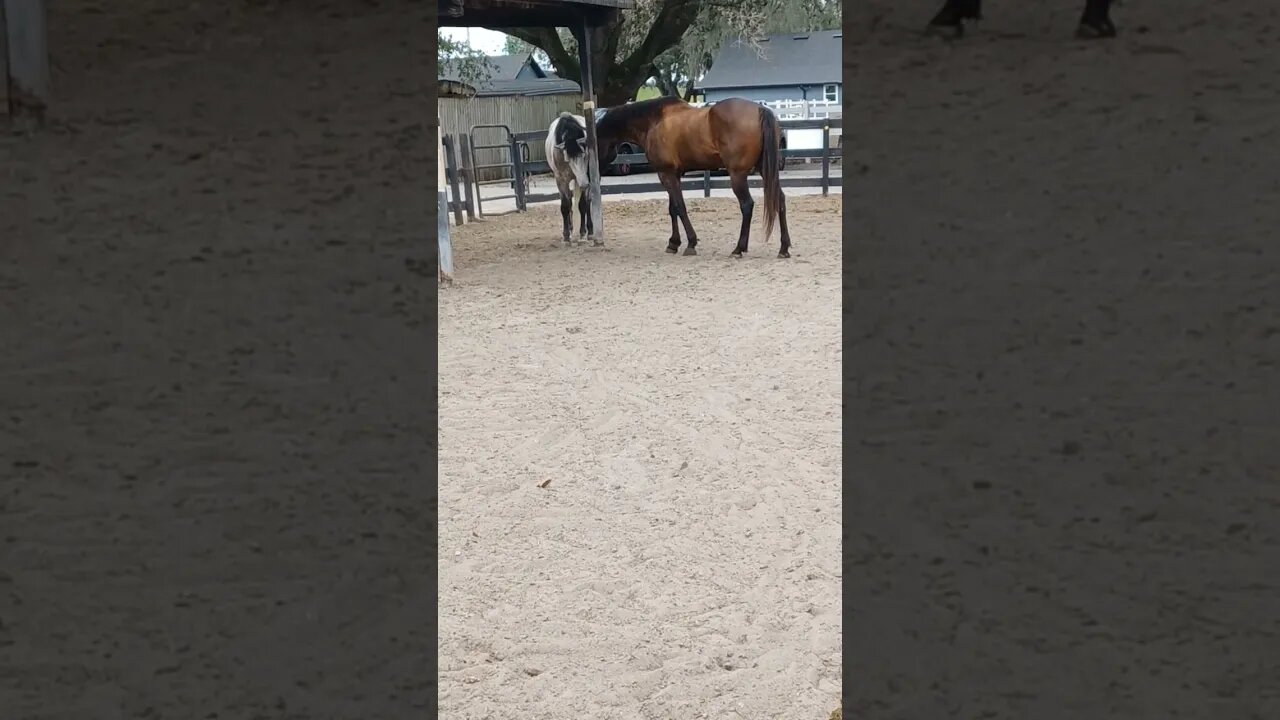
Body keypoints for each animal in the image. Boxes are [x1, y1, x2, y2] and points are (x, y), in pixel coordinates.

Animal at [545, 112, 593, 245]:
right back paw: (571, 229)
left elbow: (582, 204)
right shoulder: (561, 180)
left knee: (587, 202)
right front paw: (566, 235)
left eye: (584, 155)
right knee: (570, 202)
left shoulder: (580, 178)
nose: (585, 183)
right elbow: (565, 206)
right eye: (569, 158)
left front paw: (582, 232)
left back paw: (590, 231)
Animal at [595, 97, 792, 259]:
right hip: (765, 170)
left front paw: (690, 243)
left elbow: (680, 207)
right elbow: (672, 208)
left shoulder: (665, 173)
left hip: (738, 175)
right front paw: (673, 243)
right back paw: (783, 248)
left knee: (747, 205)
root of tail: (760, 109)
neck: (653, 122)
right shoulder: (674, 174)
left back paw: (738, 249)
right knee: (780, 199)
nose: (597, 172)